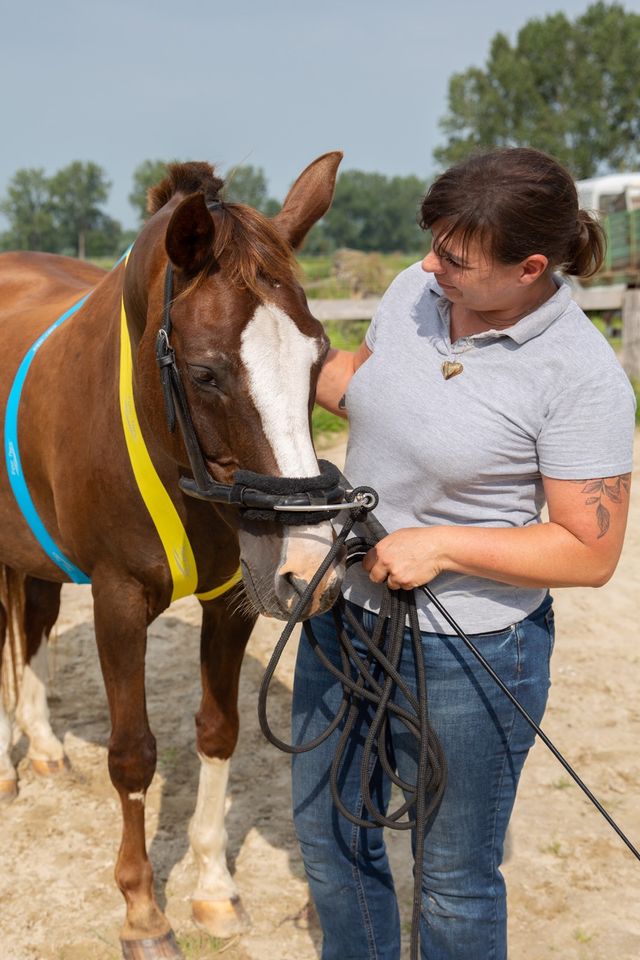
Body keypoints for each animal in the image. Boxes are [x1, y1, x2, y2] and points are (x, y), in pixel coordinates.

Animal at [0, 152, 344, 960]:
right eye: (207, 371)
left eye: (319, 356)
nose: (309, 567)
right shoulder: (118, 600)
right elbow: (134, 754)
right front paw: (142, 911)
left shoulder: (233, 600)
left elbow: (218, 733)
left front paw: (214, 889)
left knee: (30, 624)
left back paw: (43, 745)